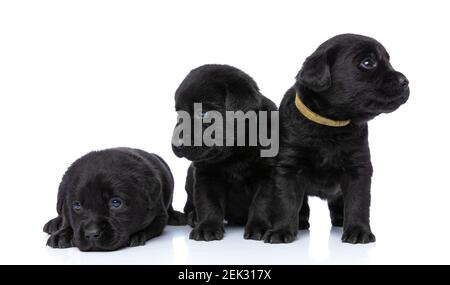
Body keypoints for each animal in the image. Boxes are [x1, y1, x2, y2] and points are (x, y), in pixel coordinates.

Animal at [43, 148, 185, 250]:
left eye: (116, 203)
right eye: (77, 205)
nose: (91, 234)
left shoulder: (159, 214)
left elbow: (152, 226)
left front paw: (138, 234)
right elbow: (67, 221)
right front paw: (62, 235)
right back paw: (53, 223)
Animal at [172, 63, 278, 240]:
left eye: (203, 113)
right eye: (179, 114)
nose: (176, 144)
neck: (235, 152)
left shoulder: (267, 173)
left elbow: (262, 202)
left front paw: (258, 227)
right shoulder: (206, 174)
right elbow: (209, 202)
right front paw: (206, 227)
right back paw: (194, 218)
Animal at [248, 32, 410, 242]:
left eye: (389, 61)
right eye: (368, 62)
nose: (405, 81)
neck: (329, 126)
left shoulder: (358, 168)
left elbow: (358, 202)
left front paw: (358, 231)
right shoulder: (289, 168)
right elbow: (287, 201)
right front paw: (281, 230)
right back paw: (300, 223)